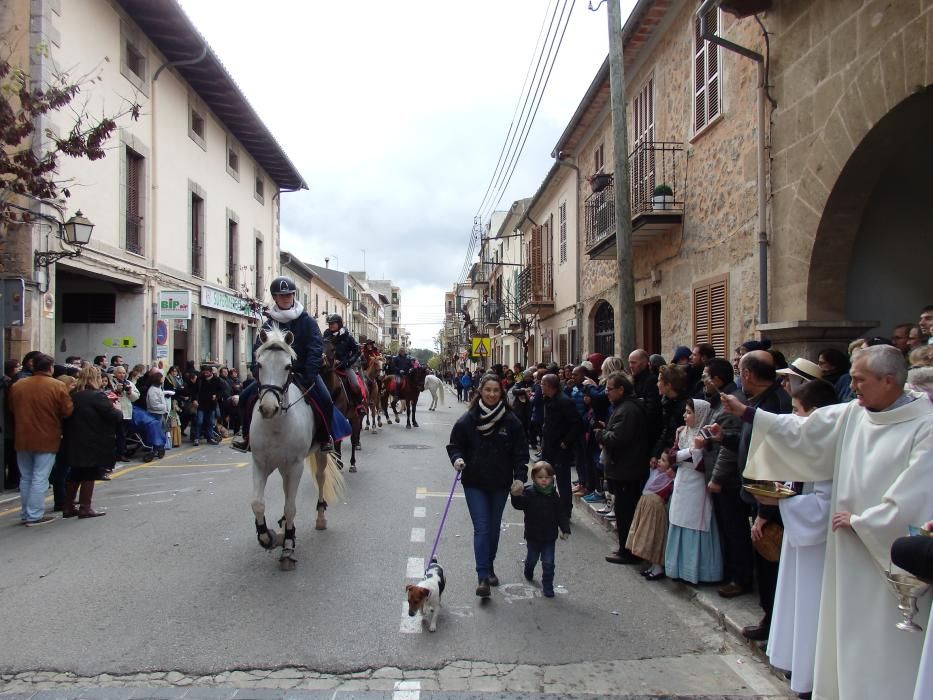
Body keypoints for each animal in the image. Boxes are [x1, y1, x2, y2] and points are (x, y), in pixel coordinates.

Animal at [248, 326, 346, 572]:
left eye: (288, 366)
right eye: (259, 365)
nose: (268, 408)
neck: (276, 424)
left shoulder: (295, 465)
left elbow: (291, 507)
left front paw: (288, 548)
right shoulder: (260, 463)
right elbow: (257, 504)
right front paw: (268, 537)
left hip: (318, 454)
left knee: (320, 479)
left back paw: (319, 518)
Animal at [322, 340, 362, 470]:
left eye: (333, 349)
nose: (322, 361)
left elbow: (338, 440)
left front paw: (339, 463)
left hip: (355, 417)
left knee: (353, 438)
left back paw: (353, 463)